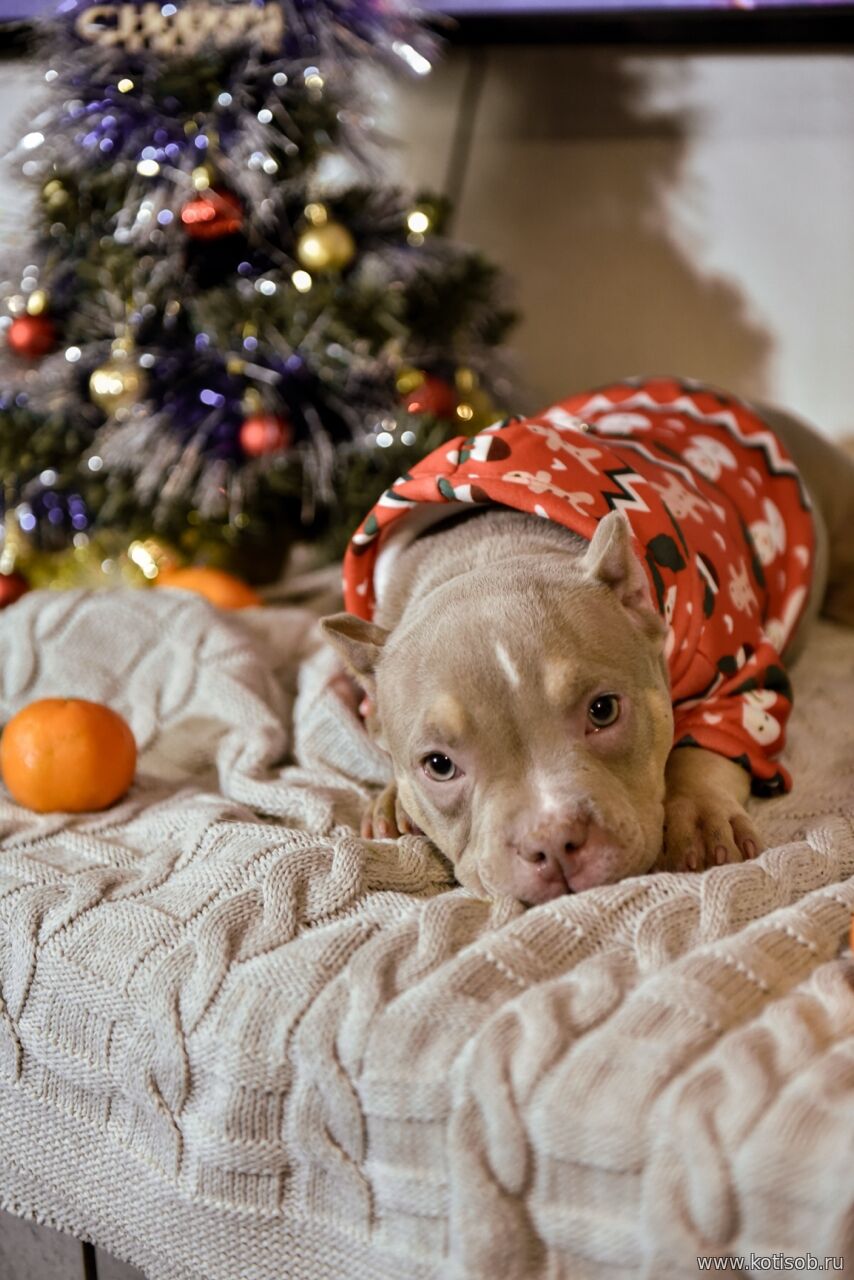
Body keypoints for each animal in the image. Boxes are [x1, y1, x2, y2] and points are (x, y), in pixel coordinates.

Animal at [322, 377, 854, 904]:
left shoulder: (736, 677)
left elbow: (710, 746)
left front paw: (699, 814)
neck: (489, 552)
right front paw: (393, 798)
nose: (553, 840)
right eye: (438, 764)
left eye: (604, 710)